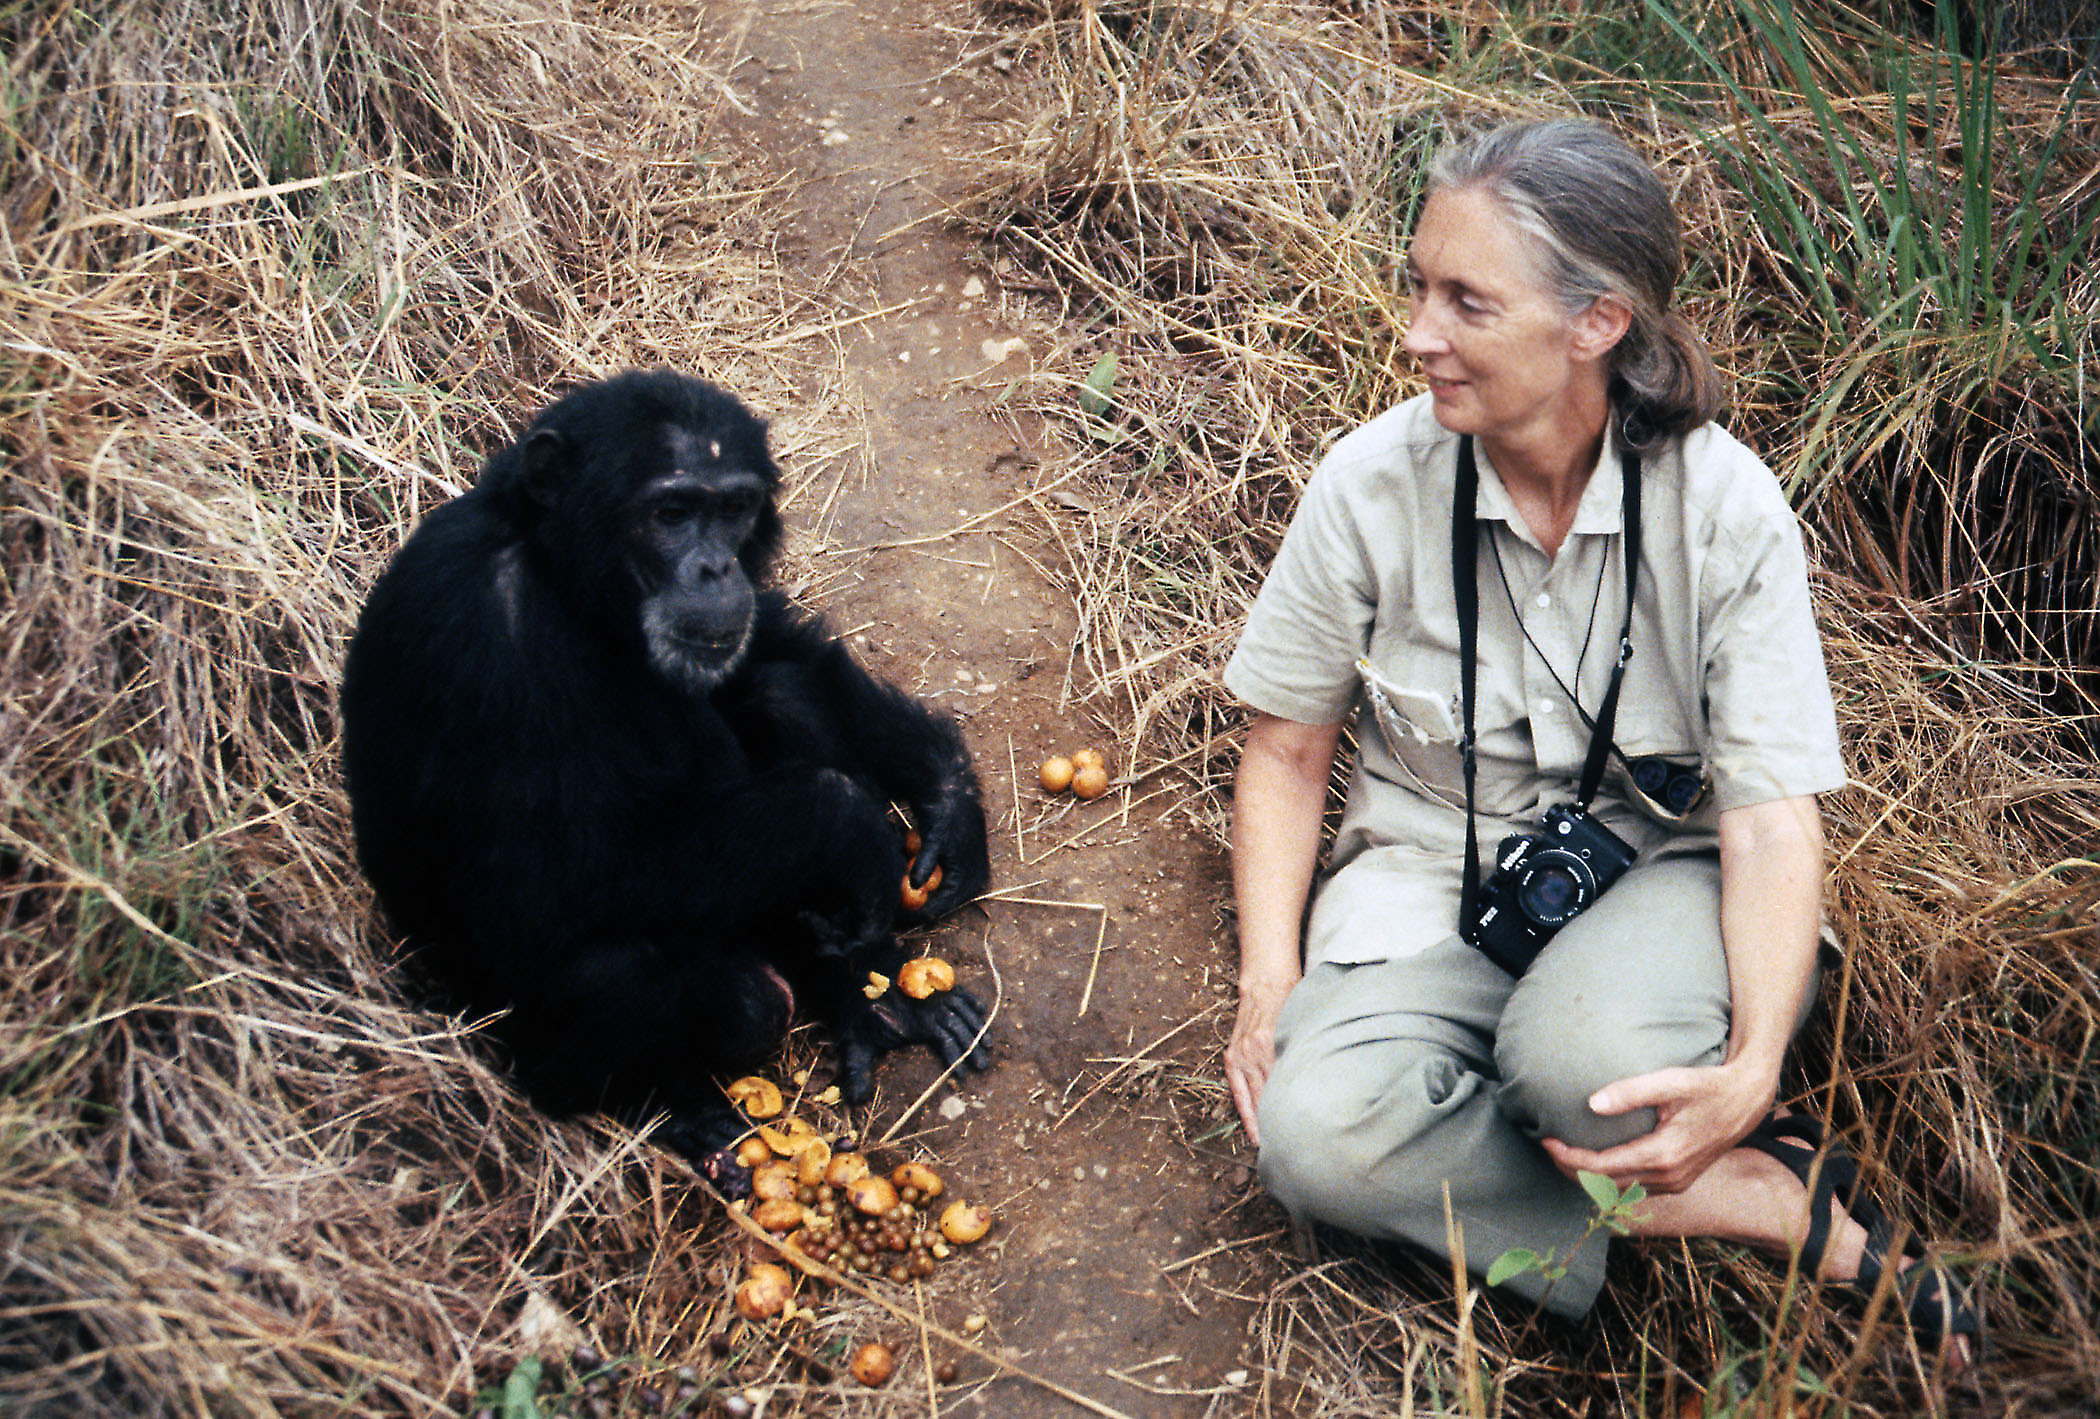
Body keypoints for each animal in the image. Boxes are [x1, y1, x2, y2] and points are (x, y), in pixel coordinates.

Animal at [340, 369, 995, 1175]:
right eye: (673, 512)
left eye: (734, 509)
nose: (715, 567)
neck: (573, 590)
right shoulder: (480, 636)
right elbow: (529, 889)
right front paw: (846, 823)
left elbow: (770, 642)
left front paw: (946, 796)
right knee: (652, 982)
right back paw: (677, 1110)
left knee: (779, 689)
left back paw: (870, 999)